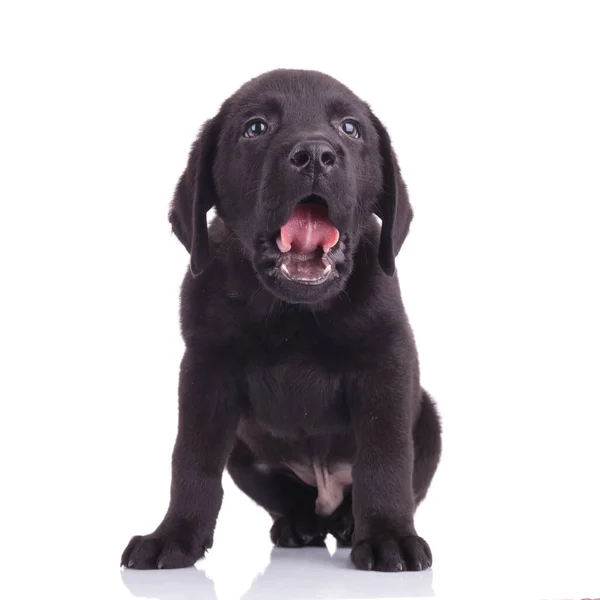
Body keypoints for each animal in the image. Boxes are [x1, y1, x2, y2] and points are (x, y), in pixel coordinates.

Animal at [120, 69, 440, 572]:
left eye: (350, 128)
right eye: (256, 128)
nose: (315, 155)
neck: (293, 313)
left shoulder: (386, 364)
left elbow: (384, 458)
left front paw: (390, 536)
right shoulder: (205, 372)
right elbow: (192, 460)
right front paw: (174, 536)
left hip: (428, 420)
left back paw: (349, 526)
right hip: (242, 448)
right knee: (289, 500)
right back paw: (298, 526)